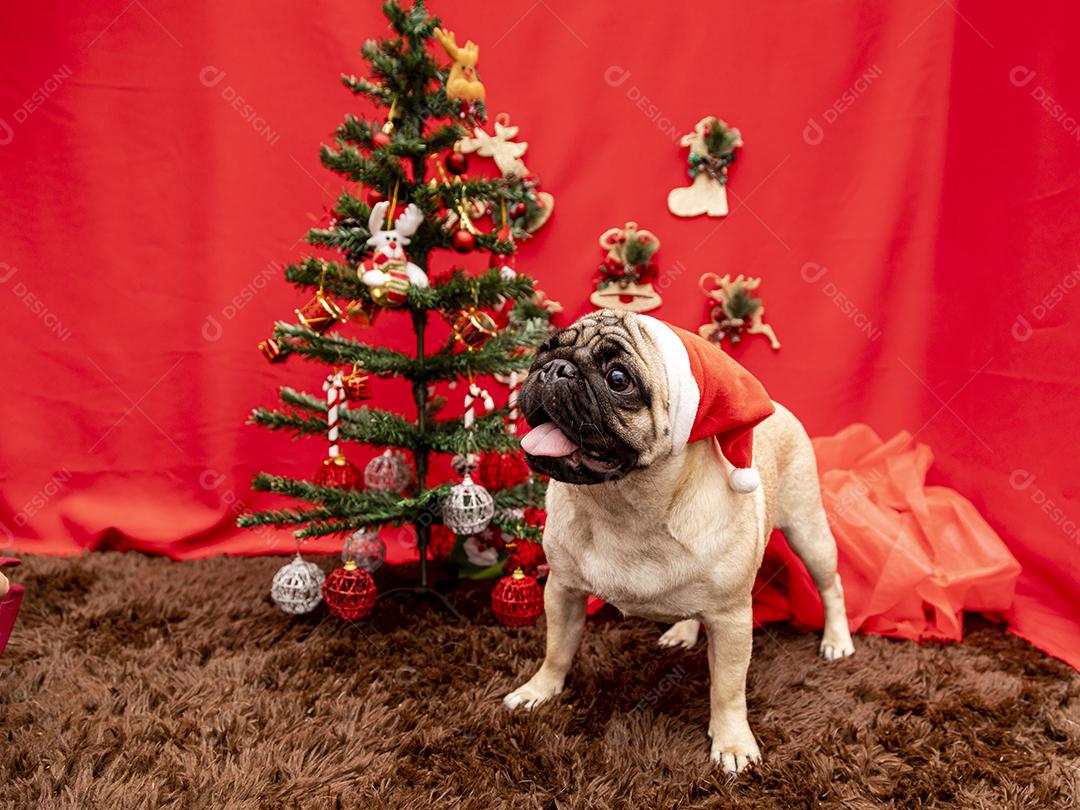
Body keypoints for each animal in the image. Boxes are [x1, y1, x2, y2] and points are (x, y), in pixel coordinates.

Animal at [501, 308, 855, 773]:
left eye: (618, 379)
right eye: (546, 347)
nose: (555, 368)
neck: (623, 506)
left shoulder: (732, 620)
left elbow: (728, 688)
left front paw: (732, 742)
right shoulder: (563, 590)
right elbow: (557, 648)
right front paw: (540, 690)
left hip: (808, 532)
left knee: (831, 586)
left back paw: (837, 639)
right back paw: (683, 630)